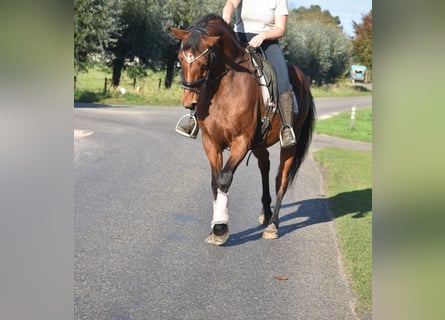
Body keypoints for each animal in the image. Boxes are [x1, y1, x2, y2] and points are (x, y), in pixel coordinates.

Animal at [168, 13, 314, 246]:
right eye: (180, 58)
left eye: (204, 61)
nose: (188, 101)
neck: (224, 86)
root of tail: (302, 77)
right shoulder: (211, 141)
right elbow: (215, 181)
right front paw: (216, 227)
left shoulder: (241, 141)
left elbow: (224, 178)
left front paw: (220, 228)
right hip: (260, 142)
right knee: (265, 166)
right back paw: (265, 212)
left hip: (290, 143)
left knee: (281, 179)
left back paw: (272, 224)